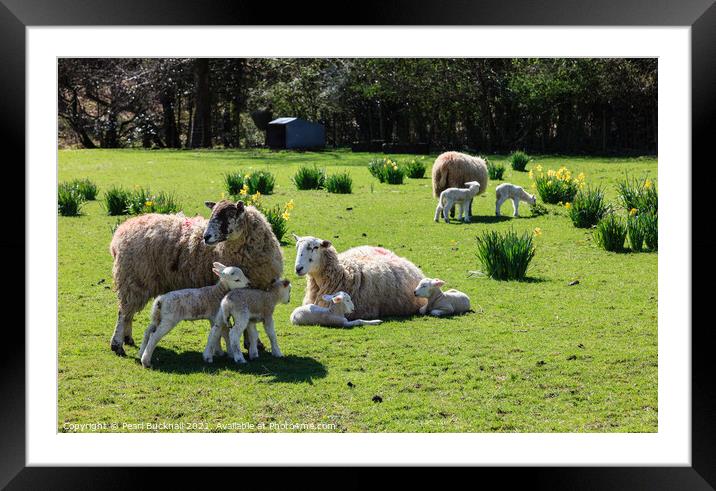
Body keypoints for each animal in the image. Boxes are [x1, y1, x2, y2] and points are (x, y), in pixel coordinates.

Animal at [109, 200, 282, 358]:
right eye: (212, 214)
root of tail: (121, 231)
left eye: (229, 215)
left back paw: (128, 338)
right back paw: (117, 344)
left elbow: (249, 324)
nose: (206, 237)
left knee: (128, 313)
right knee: (123, 313)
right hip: (132, 279)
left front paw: (254, 344)